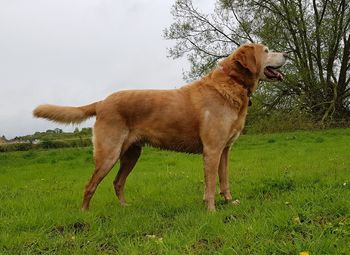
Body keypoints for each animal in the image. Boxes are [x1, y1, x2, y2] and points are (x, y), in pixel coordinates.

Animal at [32, 43, 288, 211]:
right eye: (266, 51)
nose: (286, 53)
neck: (232, 84)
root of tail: (102, 102)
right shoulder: (212, 150)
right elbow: (211, 184)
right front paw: (211, 210)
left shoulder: (225, 150)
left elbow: (224, 180)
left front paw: (229, 202)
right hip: (108, 154)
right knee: (90, 185)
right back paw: (84, 215)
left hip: (131, 154)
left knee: (117, 182)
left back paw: (125, 207)